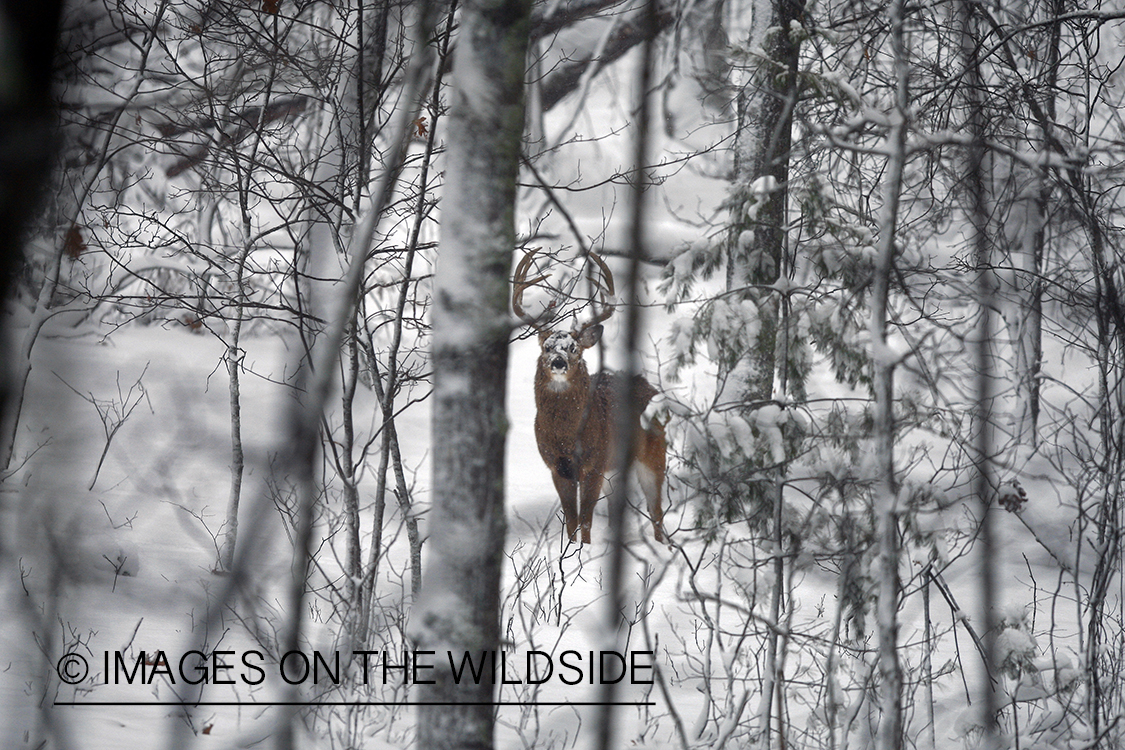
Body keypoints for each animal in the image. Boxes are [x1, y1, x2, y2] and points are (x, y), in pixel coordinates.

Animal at [513, 249, 661, 541]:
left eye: (573, 347)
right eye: (547, 347)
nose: (558, 362)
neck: (567, 438)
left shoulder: (595, 464)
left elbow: (586, 521)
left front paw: (585, 548)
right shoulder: (557, 468)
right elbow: (572, 520)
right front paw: (571, 549)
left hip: (654, 455)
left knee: (656, 511)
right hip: (616, 468)